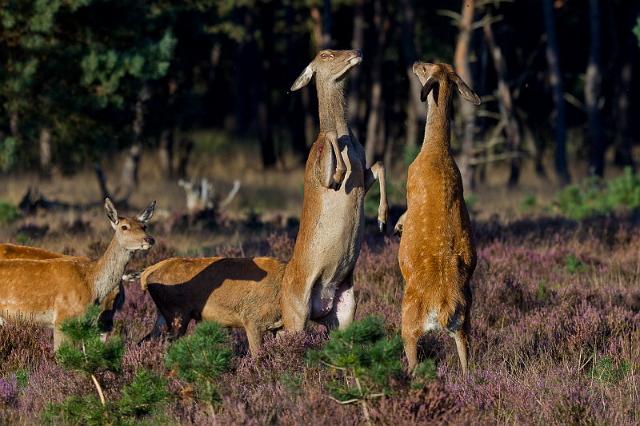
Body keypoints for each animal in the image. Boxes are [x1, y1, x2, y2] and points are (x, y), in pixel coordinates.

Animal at [140, 256, 284, 356]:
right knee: (167, 345)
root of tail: (146, 273)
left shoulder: (279, 327)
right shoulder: (252, 321)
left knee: (146, 340)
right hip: (177, 314)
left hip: (162, 314)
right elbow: (257, 357)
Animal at [282, 50, 390, 332]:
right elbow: (330, 139)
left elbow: (380, 164)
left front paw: (383, 219)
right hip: (295, 313)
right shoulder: (321, 173)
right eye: (326, 54)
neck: (350, 142)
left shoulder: (363, 173)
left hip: (344, 310)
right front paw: (340, 172)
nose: (357, 52)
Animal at [398, 61, 482, 374]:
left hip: (408, 321)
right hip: (465, 323)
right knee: (466, 360)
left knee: (412, 360)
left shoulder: (410, 182)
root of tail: (443, 308)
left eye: (426, 67)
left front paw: (398, 224)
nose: (413, 63)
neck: (436, 151)